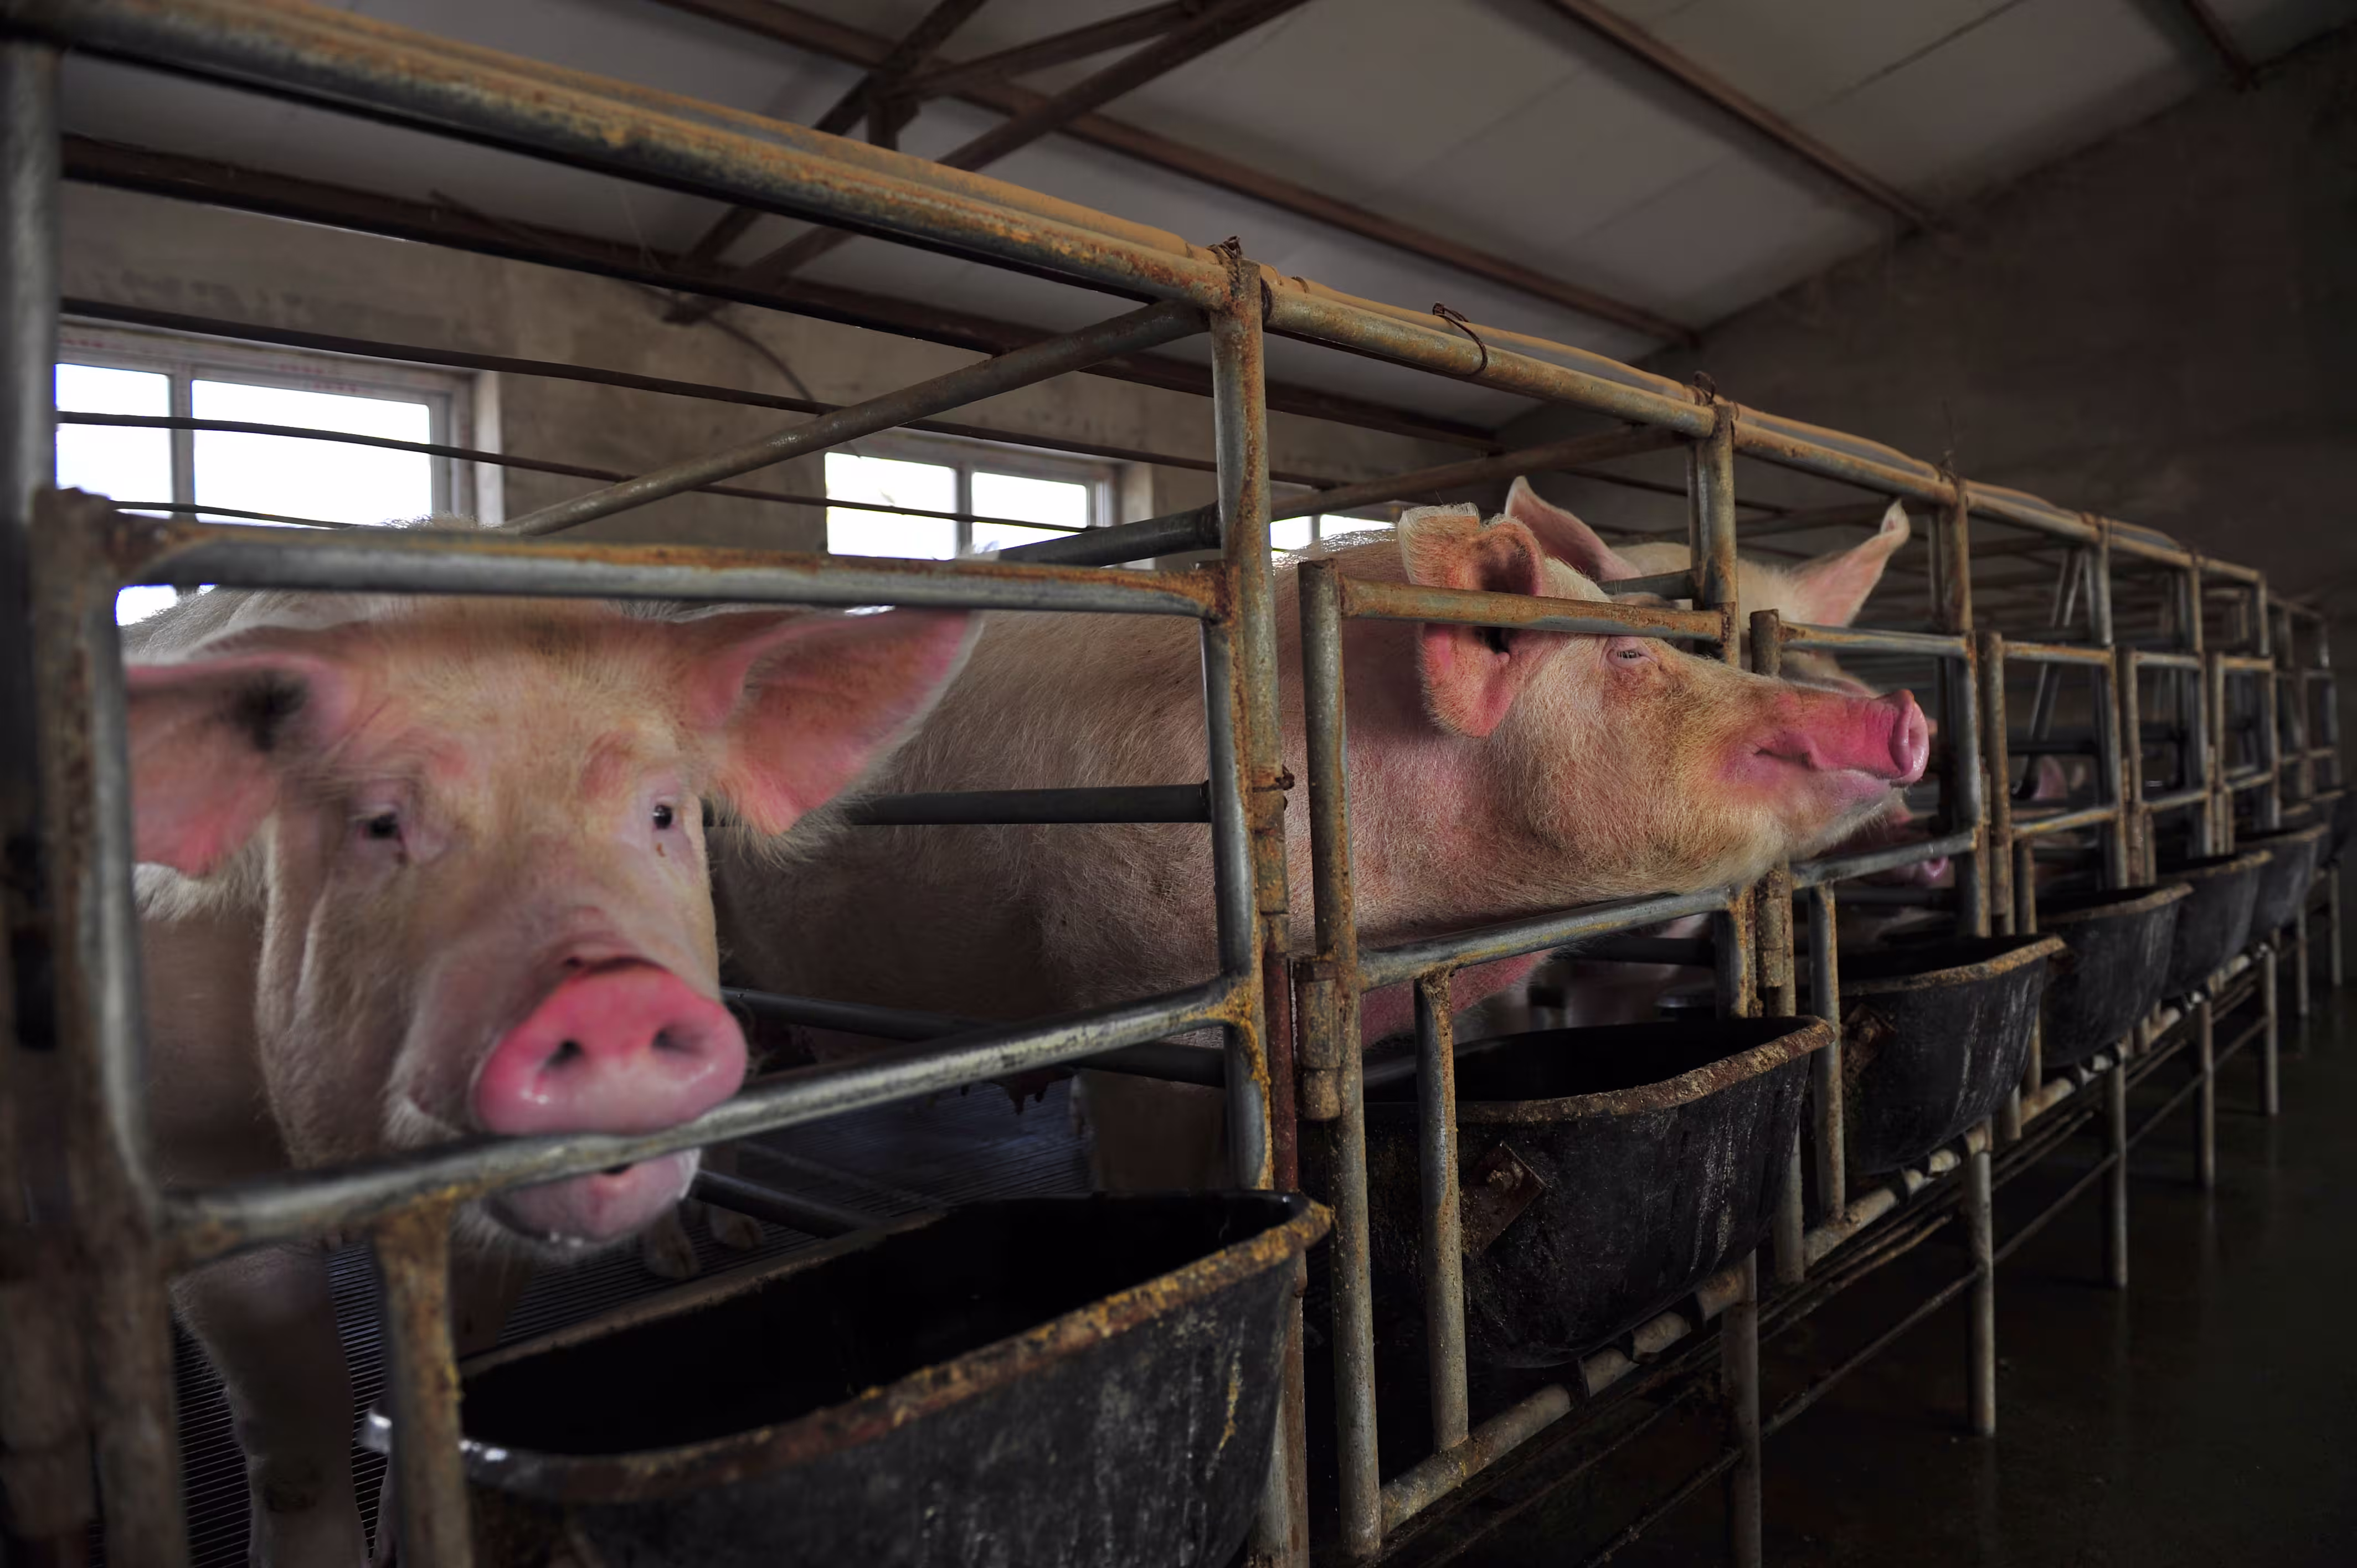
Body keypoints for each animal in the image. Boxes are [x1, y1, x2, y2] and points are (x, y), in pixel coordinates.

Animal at [126, 551, 970, 1567]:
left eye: (663, 812)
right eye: (381, 824)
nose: (608, 992)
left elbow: (456, 1370)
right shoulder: (198, 1169)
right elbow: (299, 1434)